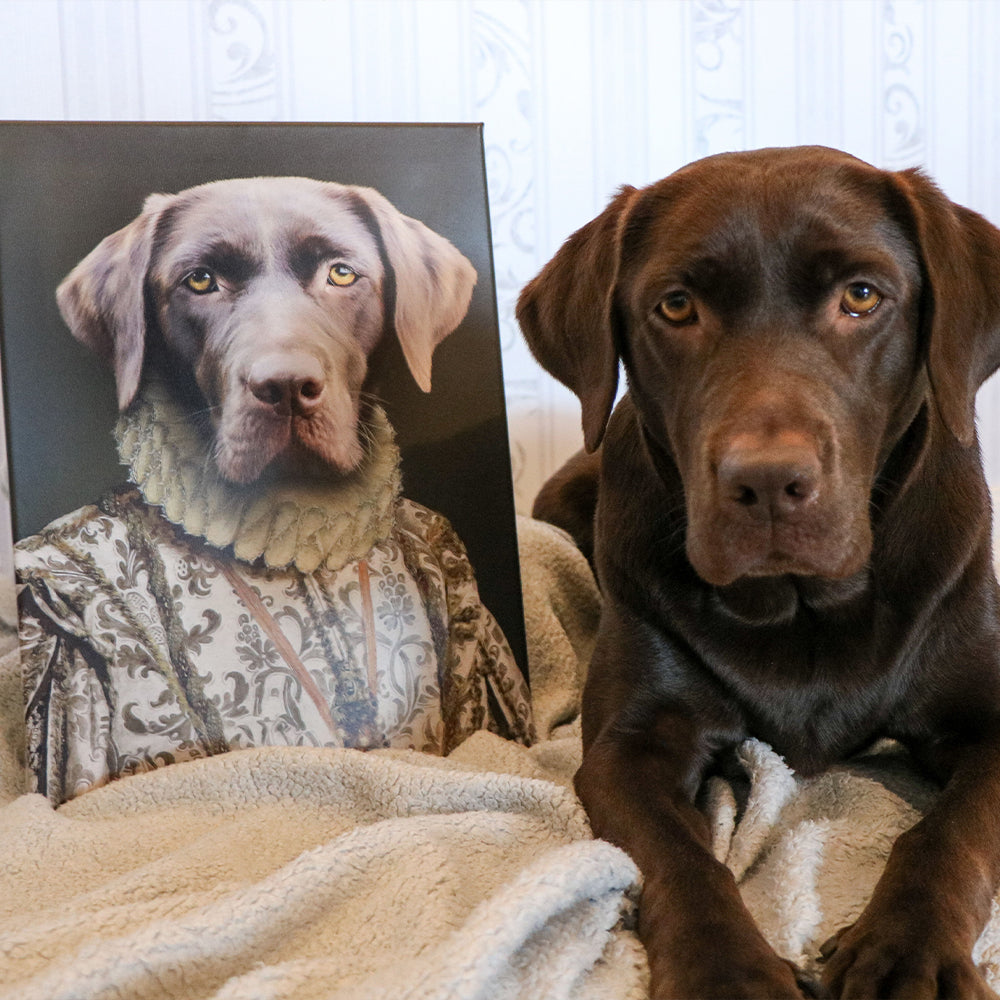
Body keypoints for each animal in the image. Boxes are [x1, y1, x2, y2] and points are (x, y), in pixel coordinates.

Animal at [520, 146, 1000, 1000]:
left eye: (861, 296)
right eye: (677, 306)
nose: (768, 482)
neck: (801, 605)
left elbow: (949, 835)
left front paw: (908, 953)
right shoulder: (629, 745)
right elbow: (680, 859)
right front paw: (725, 972)